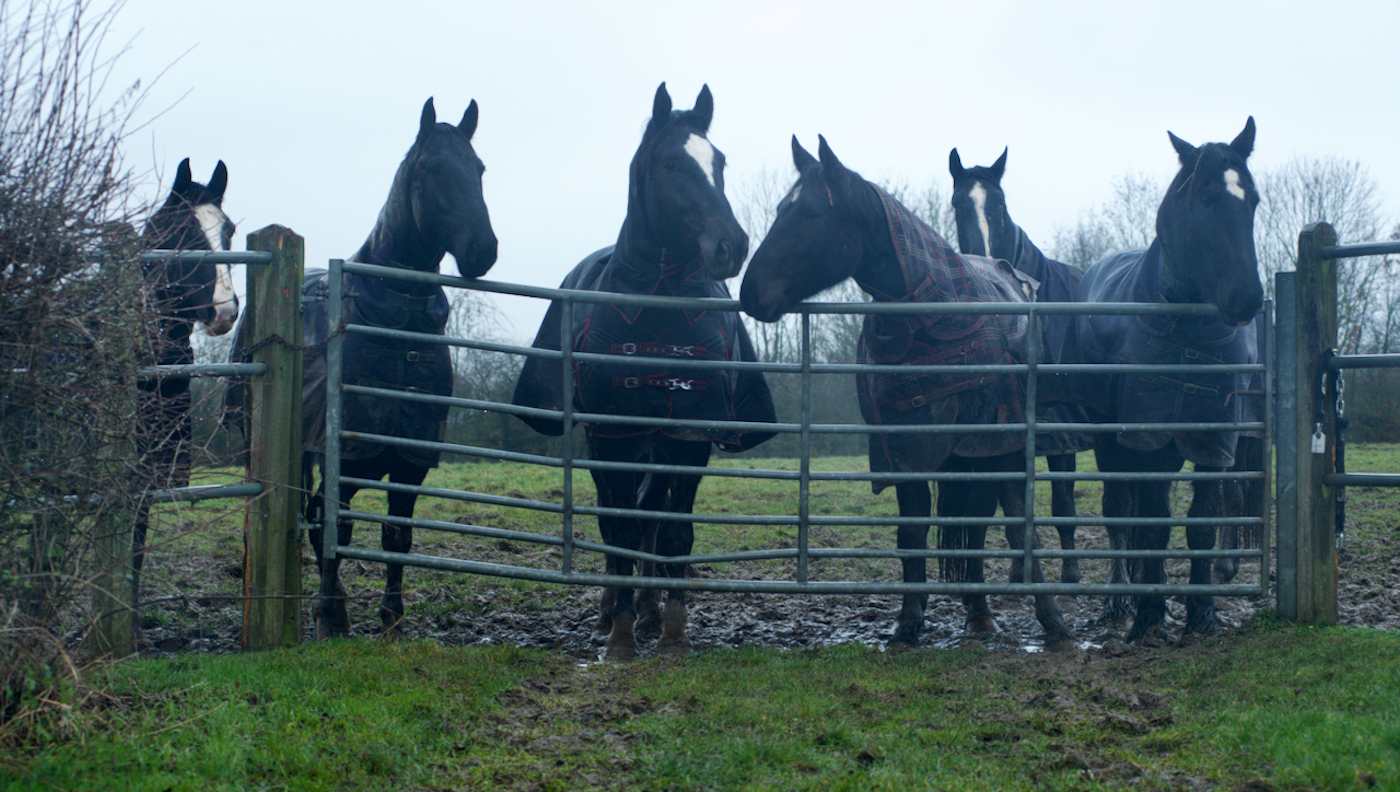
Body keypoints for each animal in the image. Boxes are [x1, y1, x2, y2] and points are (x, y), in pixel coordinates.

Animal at [298, 98, 498, 639]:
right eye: (433, 169)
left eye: (479, 169)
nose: (484, 251)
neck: (397, 321)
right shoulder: (348, 453)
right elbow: (338, 528)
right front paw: (329, 615)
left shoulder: (412, 457)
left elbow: (397, 535)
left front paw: (390, 617)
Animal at [511, 84, 776, 660]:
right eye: (670, 162)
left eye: (719, 162)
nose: (732, 246)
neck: (658, 308)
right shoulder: (615, 437)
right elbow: (621, 532)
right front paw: (621, 636)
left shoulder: (688, 436)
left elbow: (673, 533)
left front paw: (672, 631)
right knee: (616, 522)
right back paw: (612, 611)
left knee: (650, 517)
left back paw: (650, 610)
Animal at [740, 135, 1075, 651]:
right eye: (780, 209)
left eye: (811, 212)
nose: (750, 293)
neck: (932, 319)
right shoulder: (903, 450)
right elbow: (912, 531)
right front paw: (908, 622)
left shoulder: (999, 444)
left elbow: (1019, 529)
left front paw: (1054, 622)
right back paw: (977, 610)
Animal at [948, 147, 1094, 587]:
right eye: (958, 203)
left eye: (999, 203)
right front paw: (1017, 573)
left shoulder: (1063, 432)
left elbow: (1063, 504)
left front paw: (1070, 575)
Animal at [1059, 118, 1262, 642]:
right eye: (1207, 200)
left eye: (1252, 200)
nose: (1247, 299)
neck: (1190, 337)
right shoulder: (1149, 439)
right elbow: (1153, 523)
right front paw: (1150, 617)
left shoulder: (1213, 442)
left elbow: (1201, 524)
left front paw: (1202, 615)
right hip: (1110, 439)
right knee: (1119, 510)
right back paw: (1121, 600)